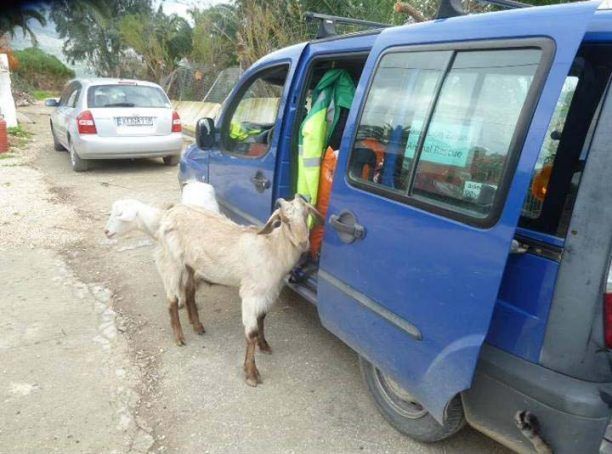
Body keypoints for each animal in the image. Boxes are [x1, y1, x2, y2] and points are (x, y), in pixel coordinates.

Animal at [155, 195, 322, 386]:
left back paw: (197, 326)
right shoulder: (251, 294)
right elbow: (251, 333)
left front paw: (264, 346)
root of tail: (171, 211)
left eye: (306, 215)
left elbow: (262, 320)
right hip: (172, 261)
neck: (272, 249)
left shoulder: (268, 293)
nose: (303, 243)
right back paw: (179, 338)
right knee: (172, 300)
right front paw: (251, 374)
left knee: (189, 291)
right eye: (285, 221)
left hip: (190, 265)